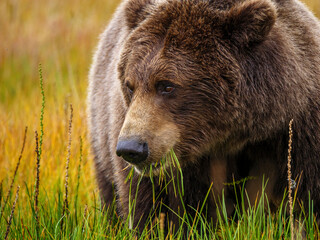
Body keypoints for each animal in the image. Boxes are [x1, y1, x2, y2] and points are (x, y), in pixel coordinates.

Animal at [87, 0, 320, 230]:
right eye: (130, 85)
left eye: (167, 86)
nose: (131, 148)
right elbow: (161, 209)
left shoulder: (296, 131)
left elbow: (306, 198)